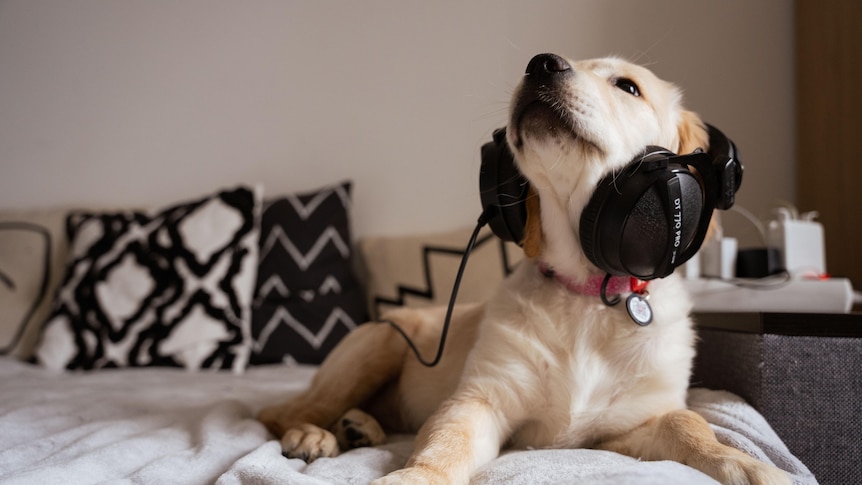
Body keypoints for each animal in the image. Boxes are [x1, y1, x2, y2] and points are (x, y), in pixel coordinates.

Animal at [260, 54, 792, 484]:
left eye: (628, 86)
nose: (541, 63)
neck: (589, 292)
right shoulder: (481, 399)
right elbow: (444, 444)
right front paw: (415, 476)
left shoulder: (627, 428)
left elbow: (689, 423)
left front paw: (741, 462)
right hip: (380, 342)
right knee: (282, 411)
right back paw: (313, 433)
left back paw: (360, 426)